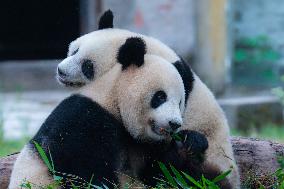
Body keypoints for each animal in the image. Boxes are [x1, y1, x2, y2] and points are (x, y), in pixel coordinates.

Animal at [8, 38, 229, 188]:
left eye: (181, 101)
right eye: (160, 97)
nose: (174, 123)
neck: (114, 101)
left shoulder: (146, 147)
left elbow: (163, 174)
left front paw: (190, 144)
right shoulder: (84, 118)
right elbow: (75, 166)